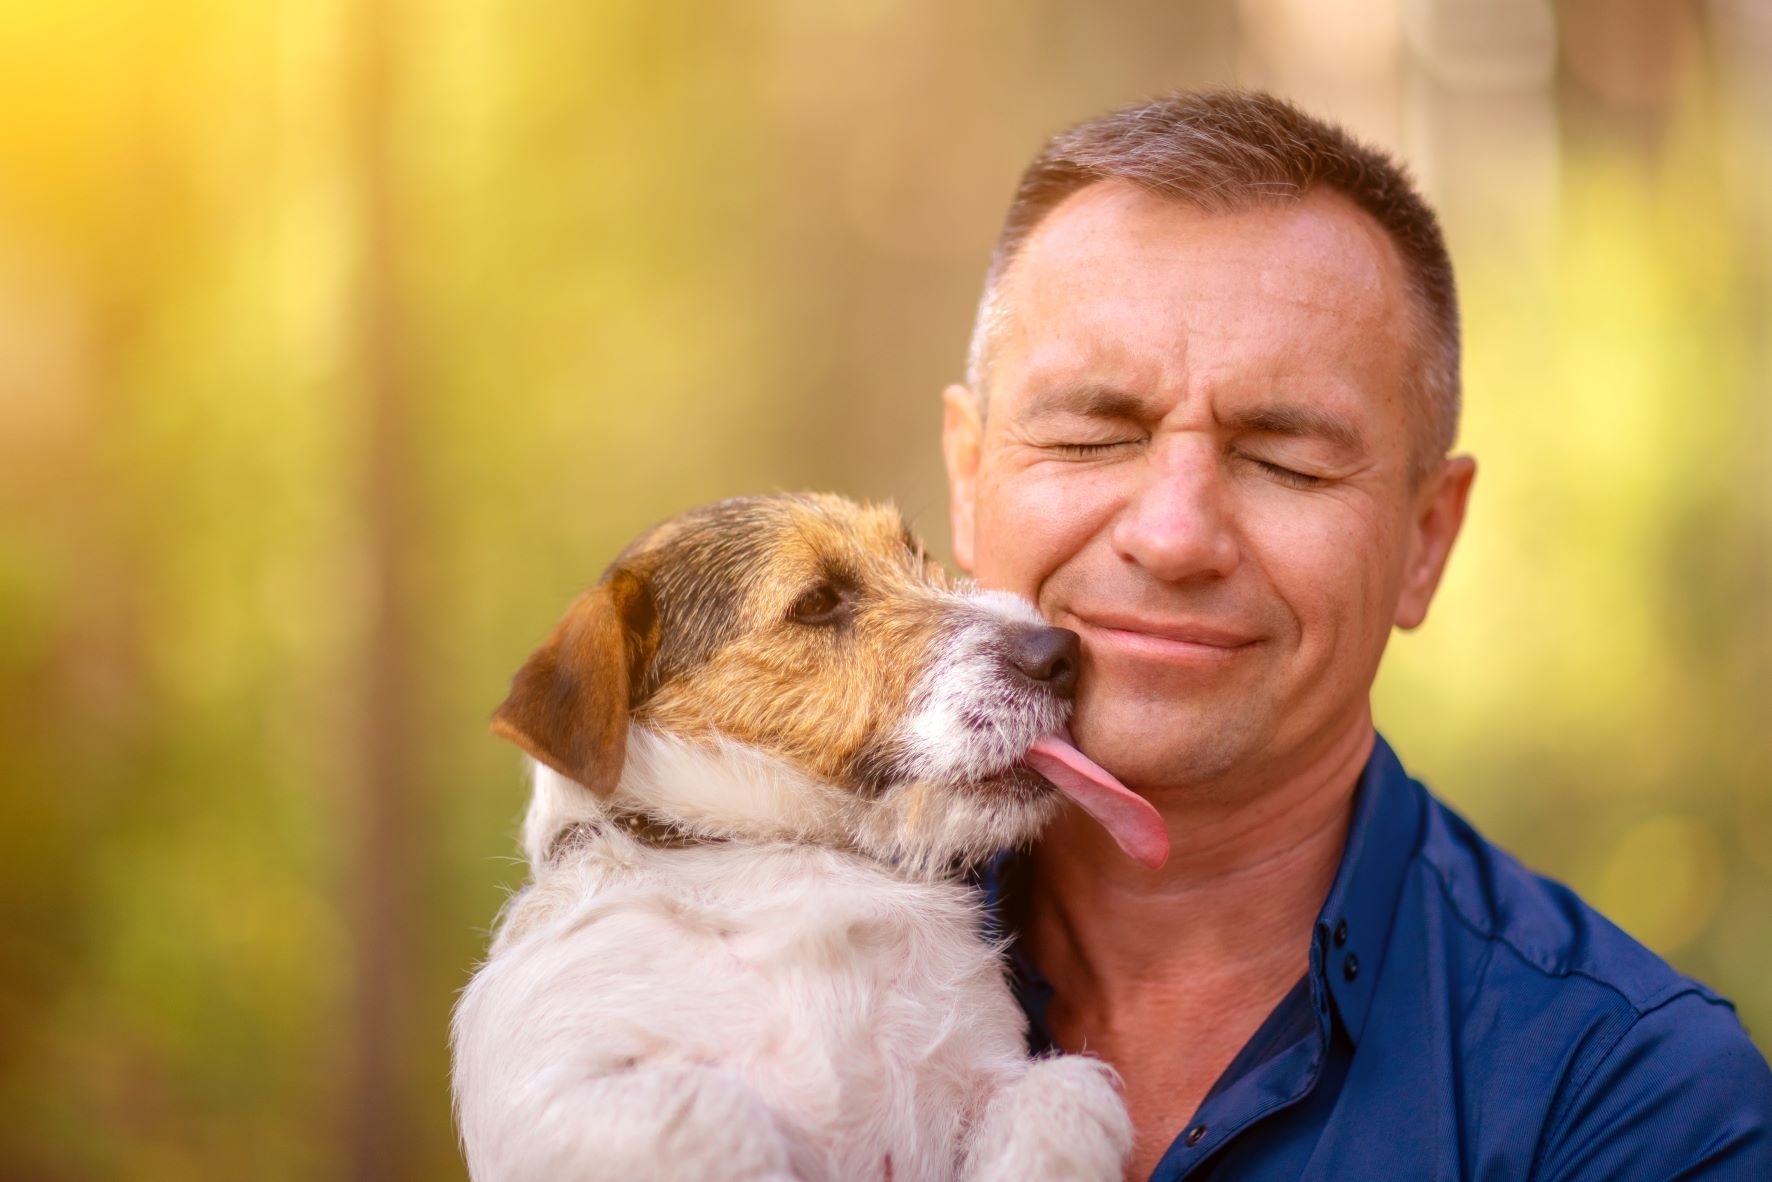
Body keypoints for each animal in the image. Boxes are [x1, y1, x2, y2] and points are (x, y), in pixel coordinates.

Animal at [450, 496, 1169, 1182]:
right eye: (817, 602)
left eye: (917, 553)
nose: (1063, 652)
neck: (794, 852)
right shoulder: (551, 1092)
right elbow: (708, 1106)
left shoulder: (991, 1066)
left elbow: (1063, 1090)